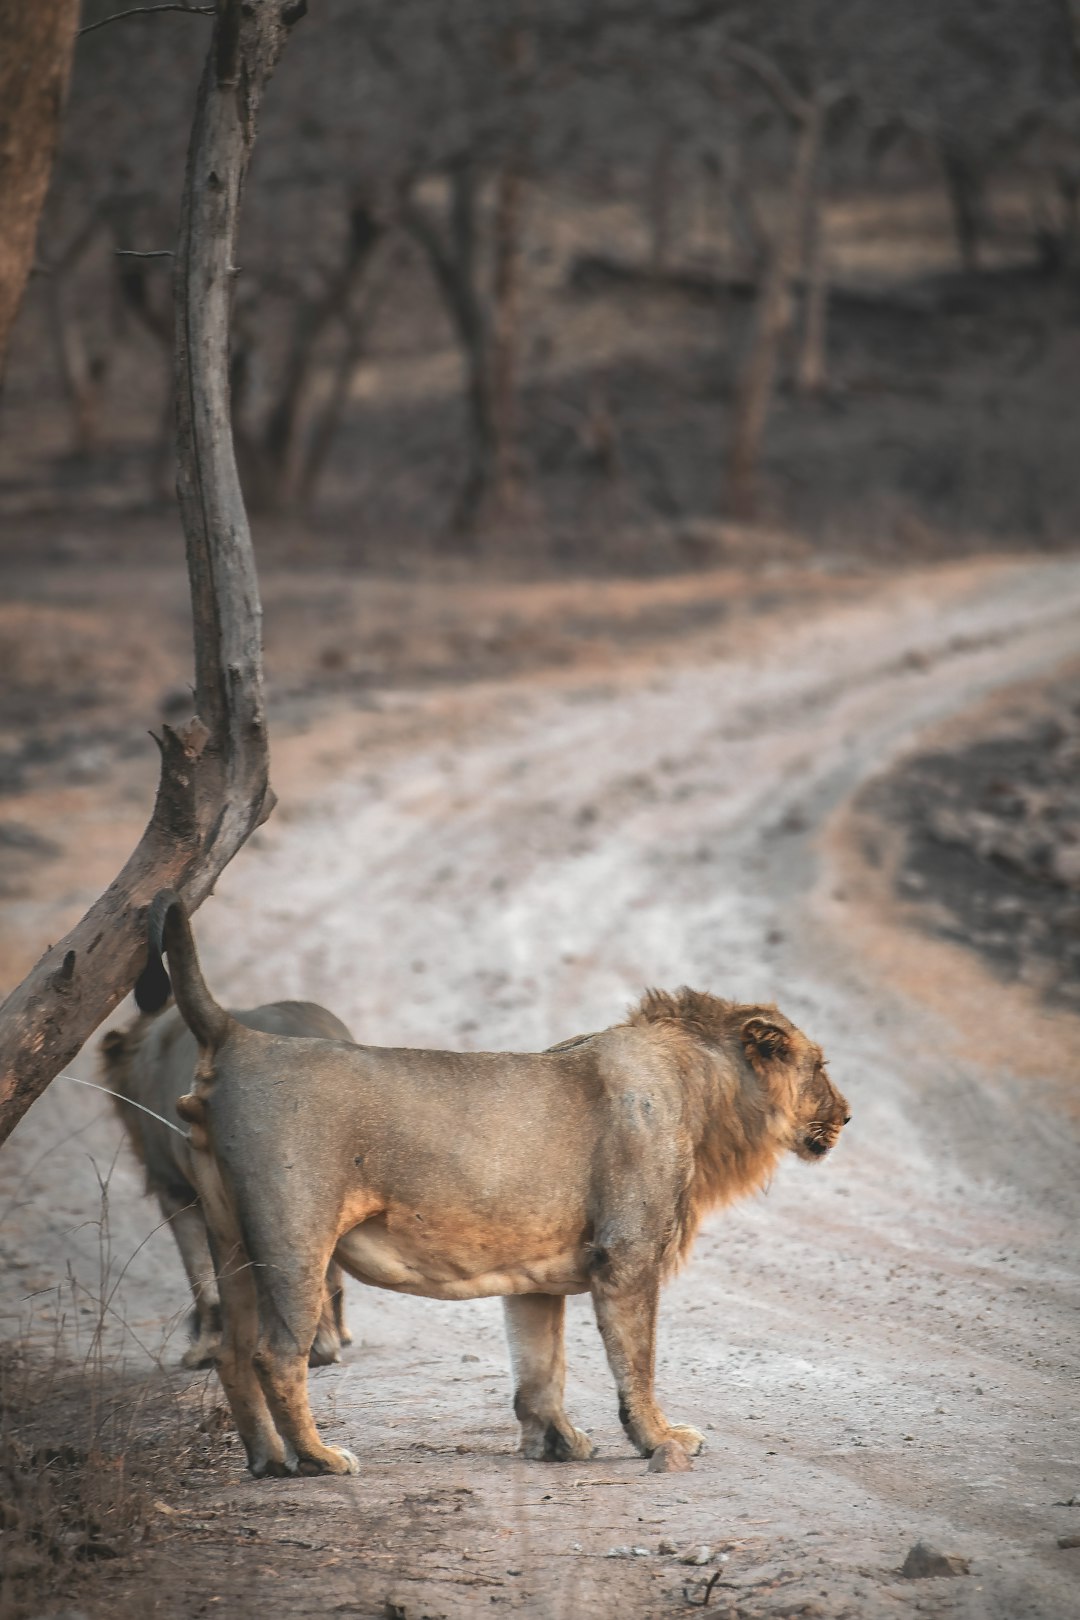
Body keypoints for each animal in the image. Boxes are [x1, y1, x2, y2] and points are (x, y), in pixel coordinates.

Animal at [135, 894, 848, 1477]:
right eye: (820, 1066)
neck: (708, 1096)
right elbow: (636, 1362)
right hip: (294, 1239)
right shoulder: (628, 1255)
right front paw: (660, 1439)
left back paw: (266, 1461)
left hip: (228, 1235)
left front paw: (556, 1444)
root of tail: (240, 1035)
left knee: (232, 1354)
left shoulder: (536, 1276)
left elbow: (540, 1368)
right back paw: (317, 1459)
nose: (847, 1115)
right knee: (276, 1354)